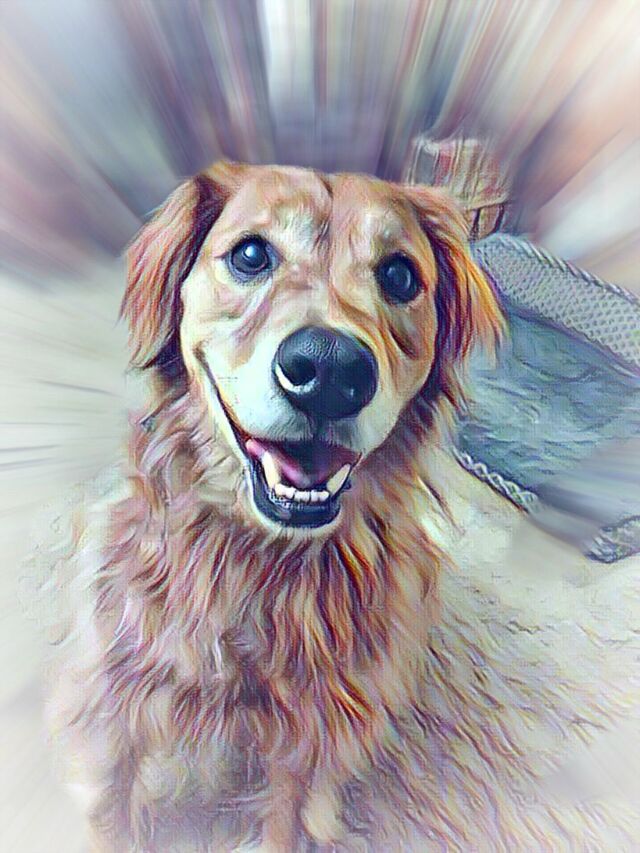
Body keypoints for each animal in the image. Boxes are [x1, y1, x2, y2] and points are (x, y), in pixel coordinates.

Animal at [44, 161, 638, 851]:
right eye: (250, 255)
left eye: (400, 275)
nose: (329, 371)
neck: (262, 566)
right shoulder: (116, 703)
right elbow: (110, 806)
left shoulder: (310, 740)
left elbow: (289, 819)